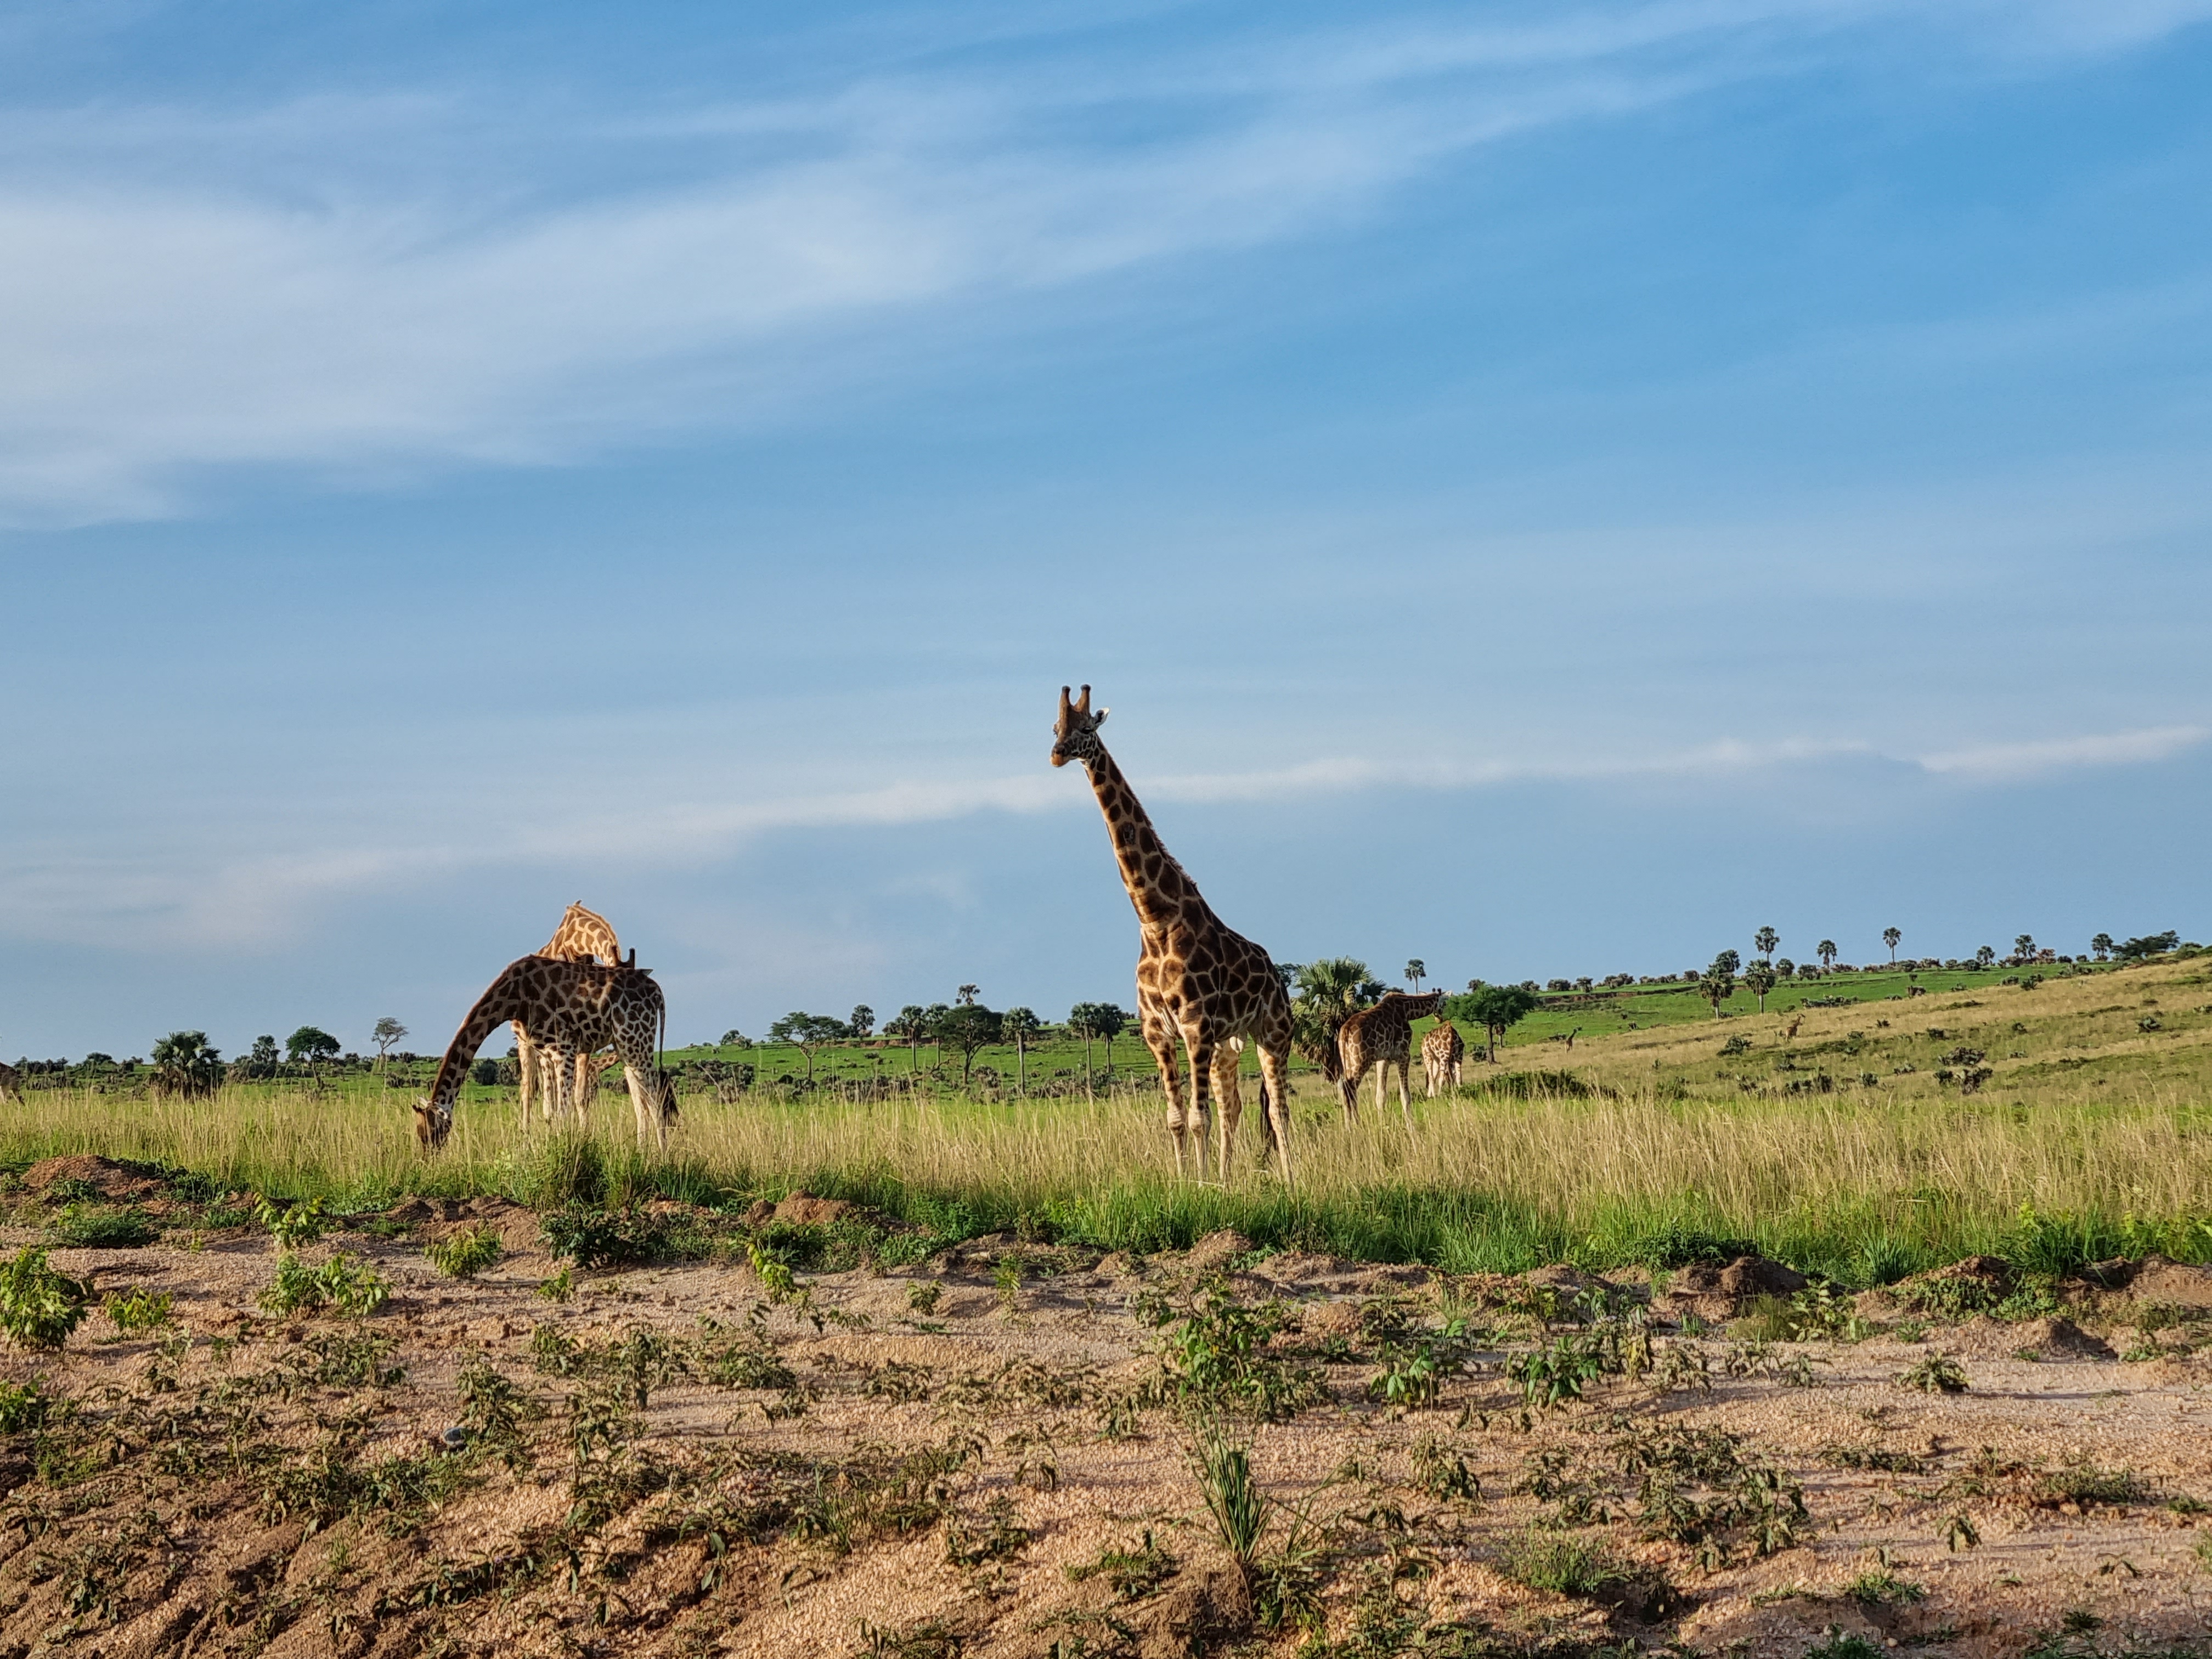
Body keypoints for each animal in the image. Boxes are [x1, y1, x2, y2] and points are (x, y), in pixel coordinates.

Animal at [418, 946, 668, 1159]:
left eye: (433, 1131)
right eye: (420, 1131)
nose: (429, 1159)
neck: (513, 997)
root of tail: (657, 992)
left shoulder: (565, 1047)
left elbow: (563, 1110)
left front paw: (568, 1153)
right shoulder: (546, 1052)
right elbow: (549, 1109)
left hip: (636, 1038)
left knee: (655, 1097)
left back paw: (662, 1158)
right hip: (625, 1046)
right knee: (640, 1100)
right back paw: (642, 1154)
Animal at [1048, 690, 1291, 1186]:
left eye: (1087, 729)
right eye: (1054, 727)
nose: (1057, 754)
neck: (1154, 919)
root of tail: (1278, 977)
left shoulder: (1196, 1025)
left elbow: (1199, 1118)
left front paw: (1202, 1185)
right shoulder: (1157, 1031)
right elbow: (1177, 1118)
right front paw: (1188, 1183)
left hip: (1273, 1034)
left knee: (1278, 1110)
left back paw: (1294, 1178)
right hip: (1229, 1045)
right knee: (1235, 1108)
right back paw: (1229, 1176)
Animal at [1327, 1000, 1451, 1132]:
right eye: (1444, 1004)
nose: (1440, 1018)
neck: (1407, 1010)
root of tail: (1345, 1031)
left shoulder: (1383, 1059)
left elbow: (1381, 1096)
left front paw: (1383, 1125)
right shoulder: (1404, 1054)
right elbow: (1405, 1096)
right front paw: (1411, 1127)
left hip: (1348, 1061)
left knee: (1343, 1085)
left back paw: (1352, 1126)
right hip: (1361, 1060)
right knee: (1349, 1087)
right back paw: (1354, 1127)